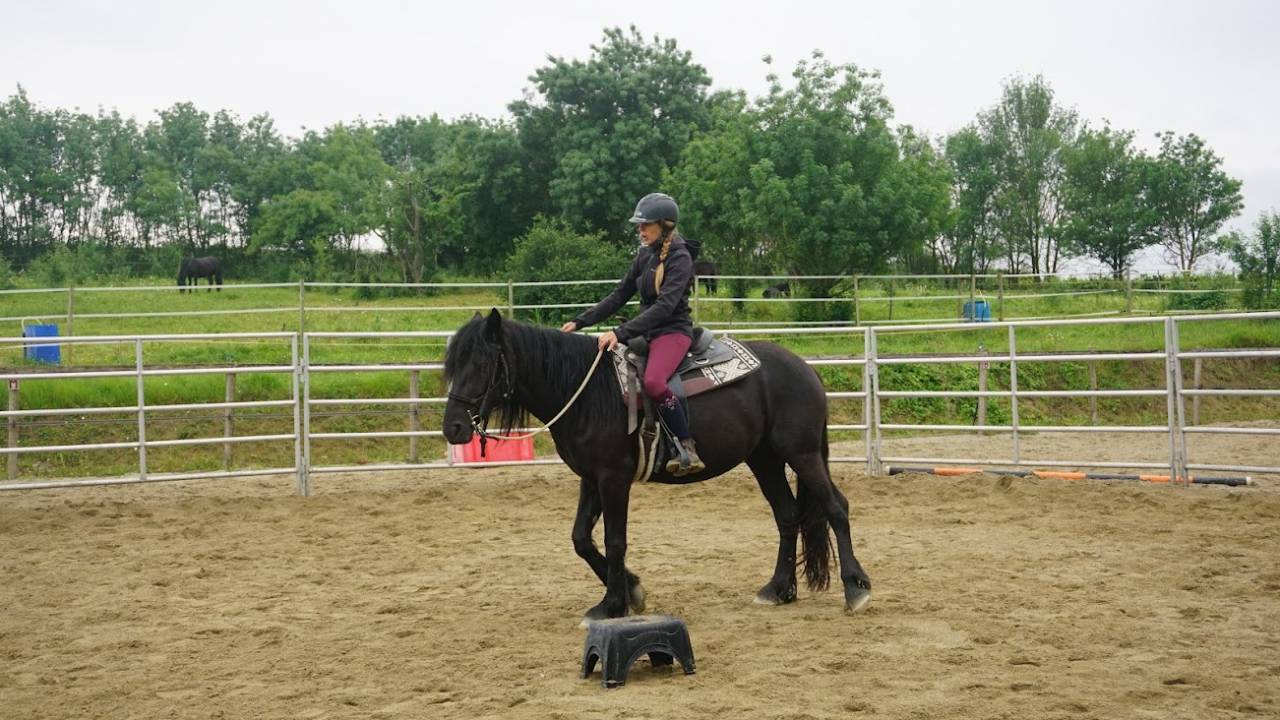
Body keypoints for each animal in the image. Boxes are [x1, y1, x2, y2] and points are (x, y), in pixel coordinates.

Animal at [442, 309, 871, 624]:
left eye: (482, 362)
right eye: (452, 364)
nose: (453, 428)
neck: (587, 391)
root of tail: (805, 368)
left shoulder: (613, 479)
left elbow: (615, 541)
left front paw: (614, 604)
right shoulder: (591, 479)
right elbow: (581, 538)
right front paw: (631, 590)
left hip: (802, 454)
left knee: (836, 508)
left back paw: (856, 589)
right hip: (764, 459)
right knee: (787, 514)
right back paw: (778, 589)